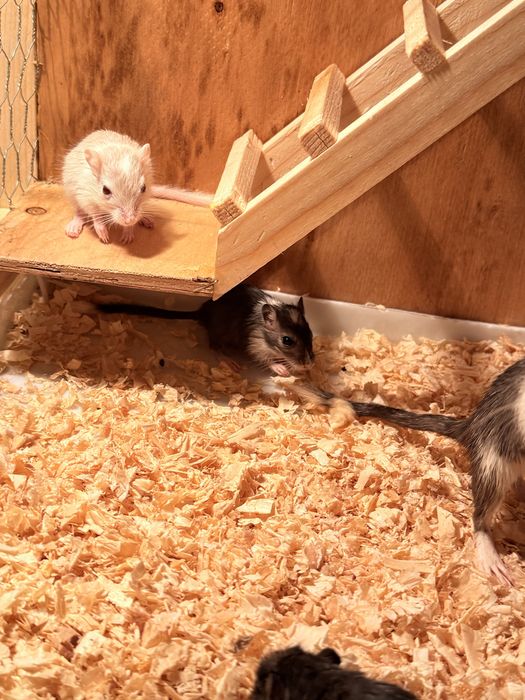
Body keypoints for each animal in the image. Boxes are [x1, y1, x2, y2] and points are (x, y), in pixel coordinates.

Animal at [62, 130, 212, 244]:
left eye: (143, 188)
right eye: (105, 190)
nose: (129, 220)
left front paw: (127, 238)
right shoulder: (86, 198)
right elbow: (96, 217)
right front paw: (105, 237)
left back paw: (147, 220)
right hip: (71, 194)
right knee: (79, 213)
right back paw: (73, 229)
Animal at [97, 284, 314, 376]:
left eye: (311, 334)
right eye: (287, 340)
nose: (309, 365)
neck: (263, 332)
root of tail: (202, 313)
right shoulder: (254, 345)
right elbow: (265, 359)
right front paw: (283, 370)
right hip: (218, 335)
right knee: (213, 347)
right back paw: (231, 363)